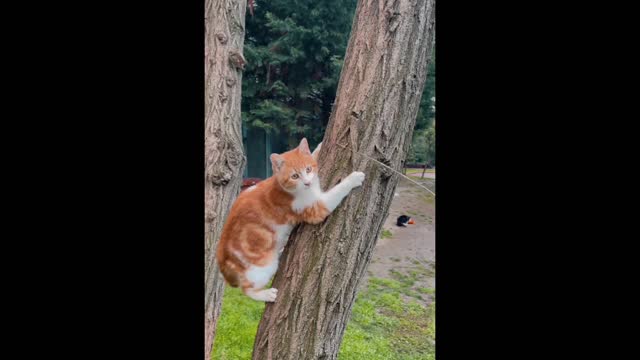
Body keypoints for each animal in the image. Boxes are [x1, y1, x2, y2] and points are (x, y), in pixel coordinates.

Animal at [216, 139, 362, 302]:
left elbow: (314, 155)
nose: (307, 183)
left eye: (308, 169)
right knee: (247, 289)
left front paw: (318, 147)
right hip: (263, 266)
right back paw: (265, 294)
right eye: (295, 176)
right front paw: (354, 178)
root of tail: (223, 262)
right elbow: (337, 191)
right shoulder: (316, 209)